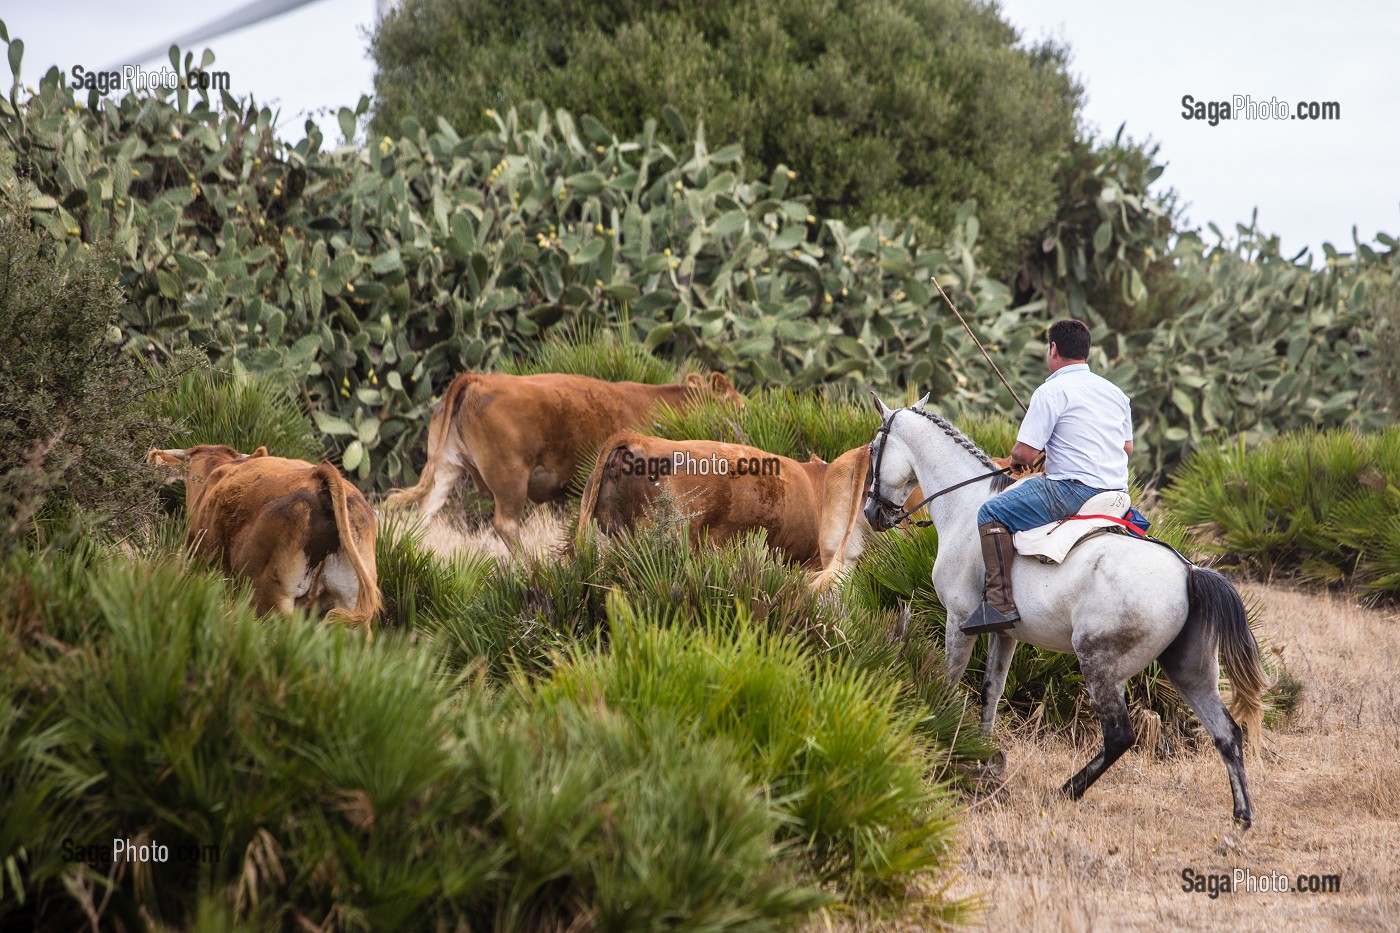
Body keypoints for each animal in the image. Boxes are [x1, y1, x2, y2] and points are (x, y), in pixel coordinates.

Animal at [378, 369, 739, 546]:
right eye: (734, 402)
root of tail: (480, 379)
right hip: (510, 479)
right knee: (506, 525)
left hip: (447, 467)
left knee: (423, 516)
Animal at [856, 392, 1265, 829]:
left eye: (873, 448)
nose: (871, 514)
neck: (965, 507)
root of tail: (1188, 572)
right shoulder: (1005, 633)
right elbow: (991, 691)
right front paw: (982, 756)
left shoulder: (958, 620)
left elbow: (950, 683)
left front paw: (949, 745)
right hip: (1190, 670)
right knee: (1227, 733)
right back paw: (1241, 818)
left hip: (1100, 663)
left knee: (1120, 735)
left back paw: (1067, 790)